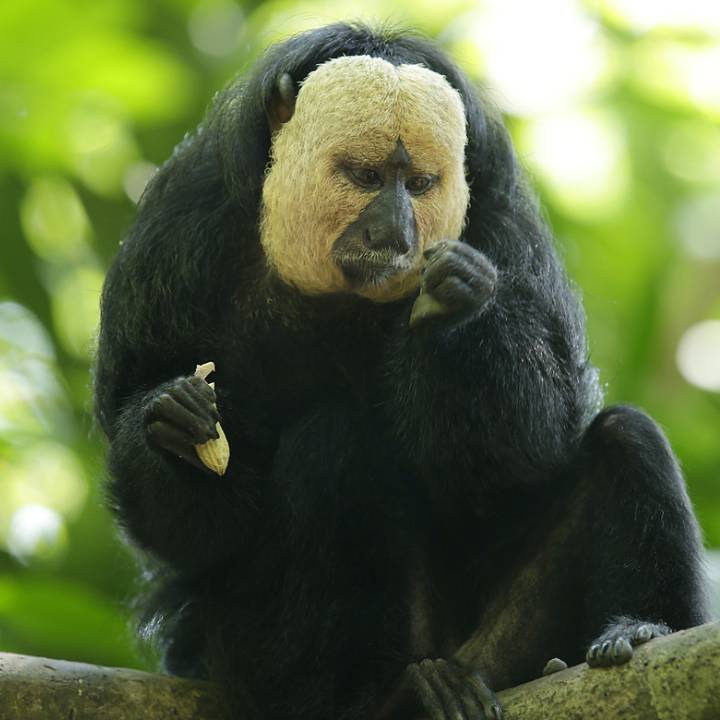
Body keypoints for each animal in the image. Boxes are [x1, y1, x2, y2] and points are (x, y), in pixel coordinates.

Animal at [94, 22, 710, 720]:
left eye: (417, 184)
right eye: (365, 177)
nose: (394, 231)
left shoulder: (506, 227)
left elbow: (530, 451)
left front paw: (456, 303)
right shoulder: (176, 234)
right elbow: (189, 534)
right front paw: (175, 427)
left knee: (625, 437)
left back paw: (632, 630)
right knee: (333, 446)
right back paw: (375, 691)